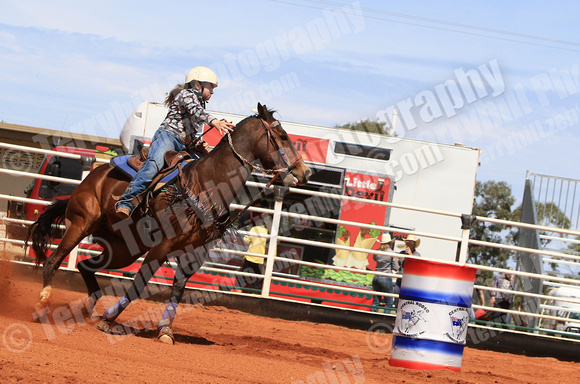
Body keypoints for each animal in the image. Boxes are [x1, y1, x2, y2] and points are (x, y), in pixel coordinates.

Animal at [28, 103, 312, 344]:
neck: (207, 184)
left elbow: (178, 289)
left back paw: (86, 309)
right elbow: (139, 285)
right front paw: (109, 319)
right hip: (81, 224)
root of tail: (94, 176)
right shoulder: (161, 247)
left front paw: (165, 330)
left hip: (123, 250)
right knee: (53, 261)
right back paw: (42, 304)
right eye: (282, 136)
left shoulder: (193, 253)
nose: (305, 172)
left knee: (85, 266)